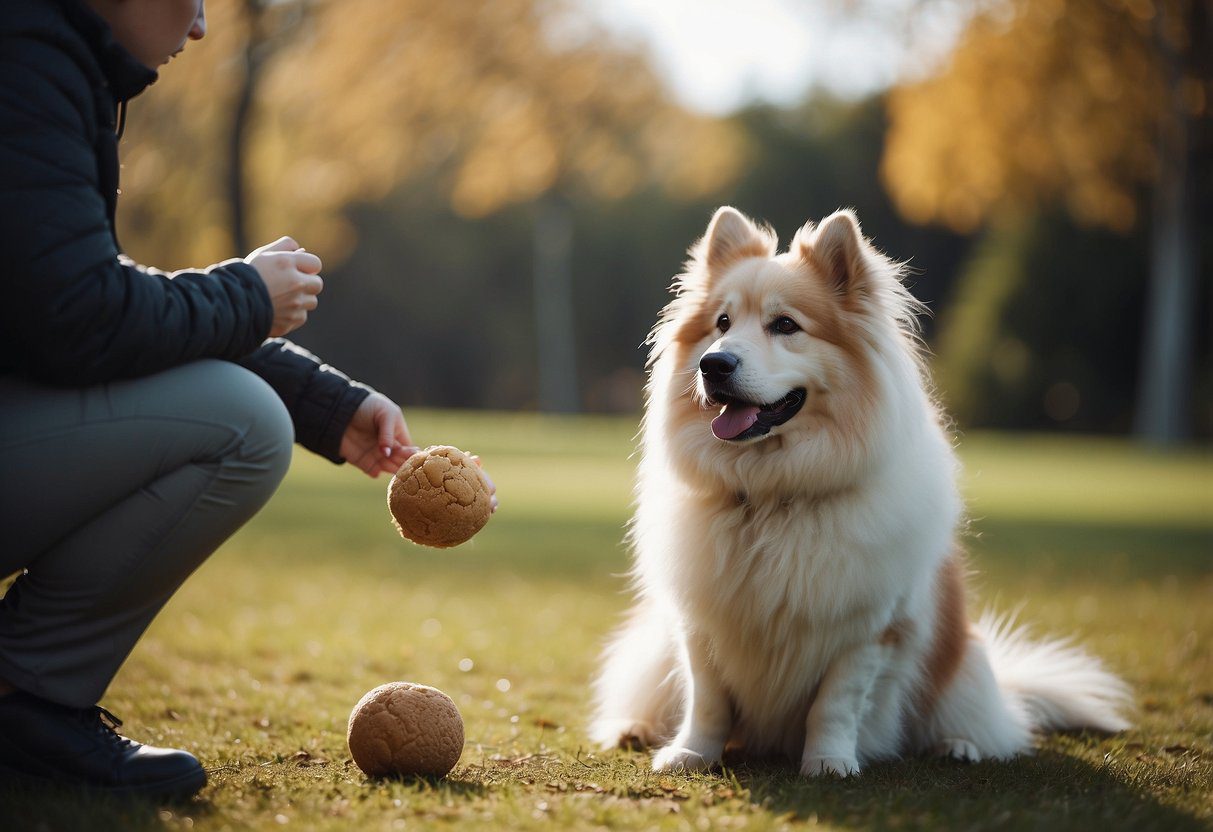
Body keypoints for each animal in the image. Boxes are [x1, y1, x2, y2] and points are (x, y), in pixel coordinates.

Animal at [587, 207, 1125, 776]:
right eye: (722, 324)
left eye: (785, 325)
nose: (713, 364)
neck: (774, 495)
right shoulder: (700, 624)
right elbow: (707, 701)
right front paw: (690, 754)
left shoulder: (868, 629)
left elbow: (835, 704)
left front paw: (829, 763)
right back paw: (632, 728)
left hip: (967, 665)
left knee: (984, 724)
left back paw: (958, 745)